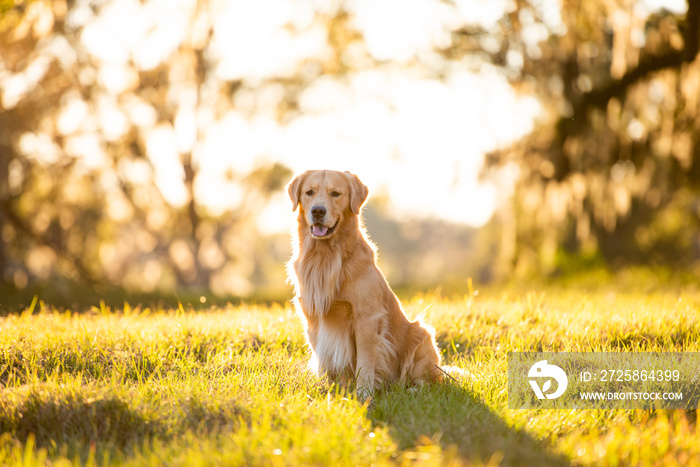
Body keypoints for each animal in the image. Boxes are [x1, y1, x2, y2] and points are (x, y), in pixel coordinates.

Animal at [286, 168, 440, 394]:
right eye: (309, 192)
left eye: (335, 193)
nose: (318, 211)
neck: (325, 256)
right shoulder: (313, 317)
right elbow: (325, 358)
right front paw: (330, 390)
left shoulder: (366, 319)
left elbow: (365, 362)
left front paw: (363, 394)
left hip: (422, 335)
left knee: (429, 382)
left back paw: (411, 391)